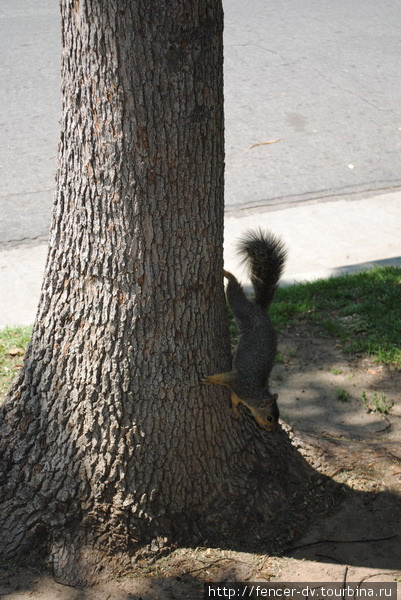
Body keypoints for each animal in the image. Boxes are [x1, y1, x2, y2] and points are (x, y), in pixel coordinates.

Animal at [202, 229, 286, 432]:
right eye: (270, 418)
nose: (270, 430)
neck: (254, 394)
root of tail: (261, 311)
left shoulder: (238, 393)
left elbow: (233, 400)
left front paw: (235, 411)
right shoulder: (237, 382)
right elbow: (223, 378)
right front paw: (210, 379)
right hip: (242, 309)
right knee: (234, 291)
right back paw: (226, 273)